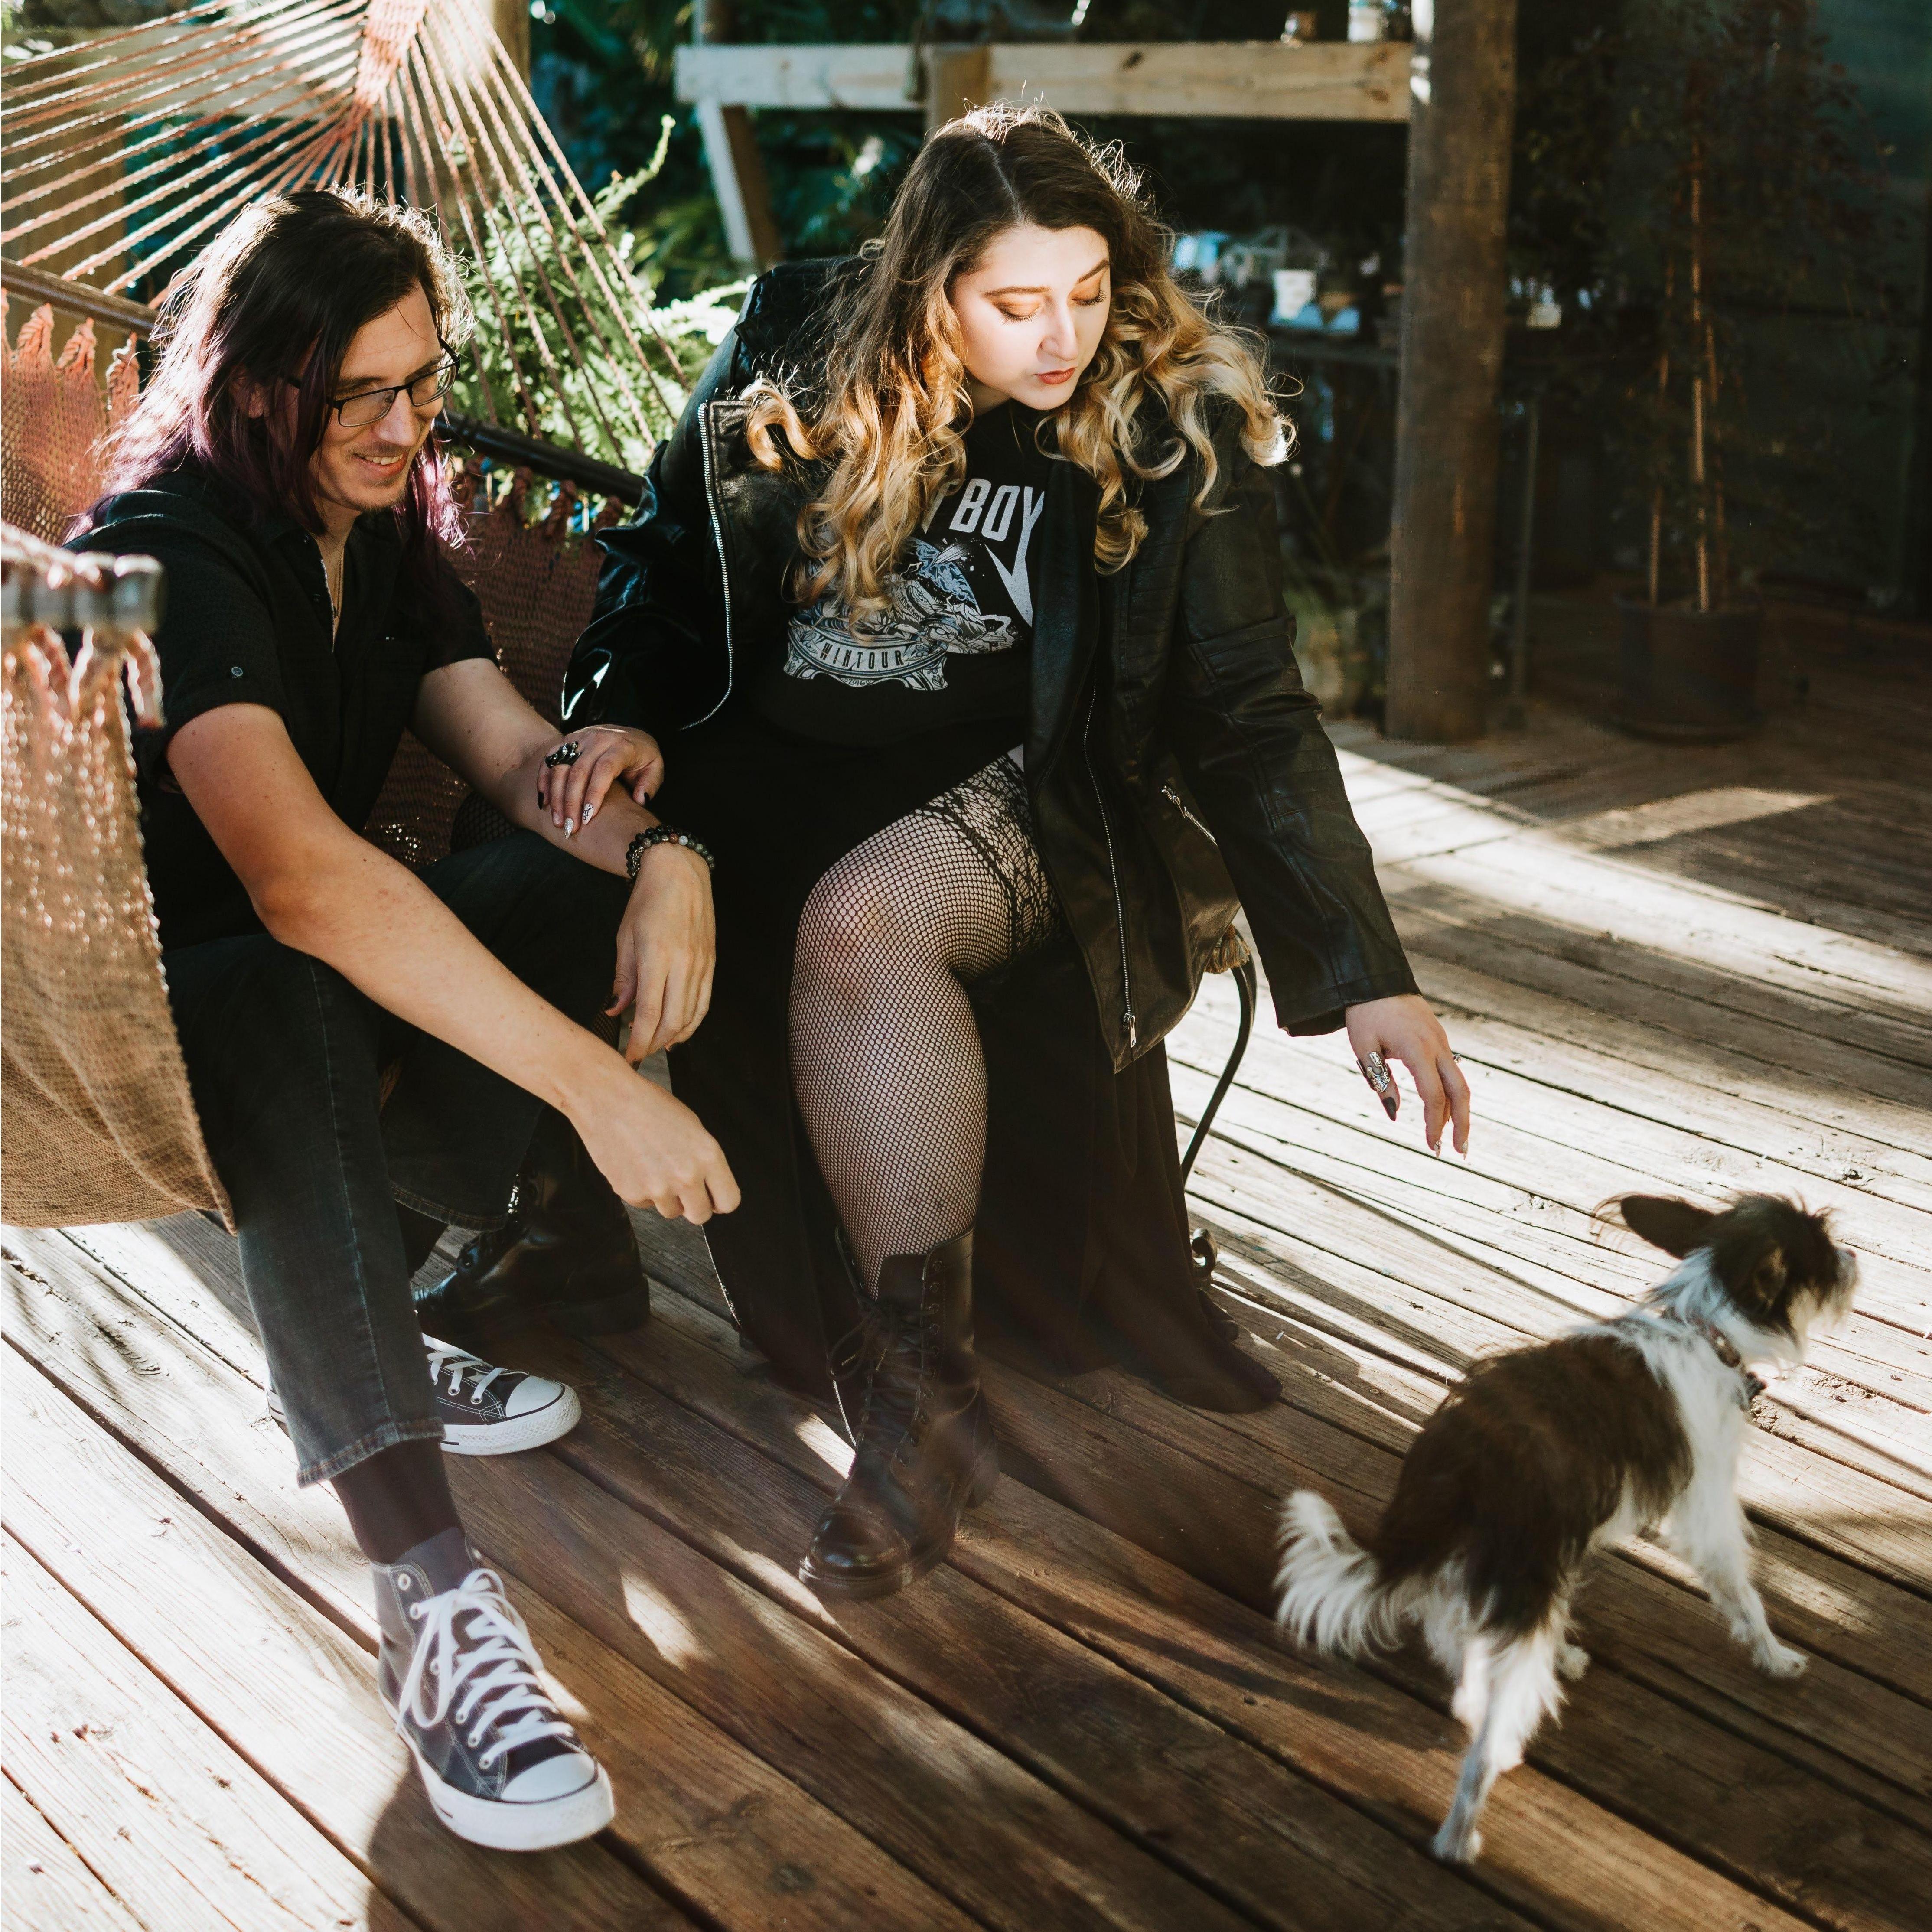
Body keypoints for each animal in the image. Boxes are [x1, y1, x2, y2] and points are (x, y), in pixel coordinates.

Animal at [1275, 1182, 1847, 1862]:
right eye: (1824, 1249)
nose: (1853, 1259)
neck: (1701, 1327)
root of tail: (1454, 1470)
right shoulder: (1707, 1506)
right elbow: (1742, 1593)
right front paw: (1775, 1657)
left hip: (1481, 1577)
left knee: (1466, 1668)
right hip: (1523, 1581)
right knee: (1483, 1729)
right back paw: (1458, 1836)